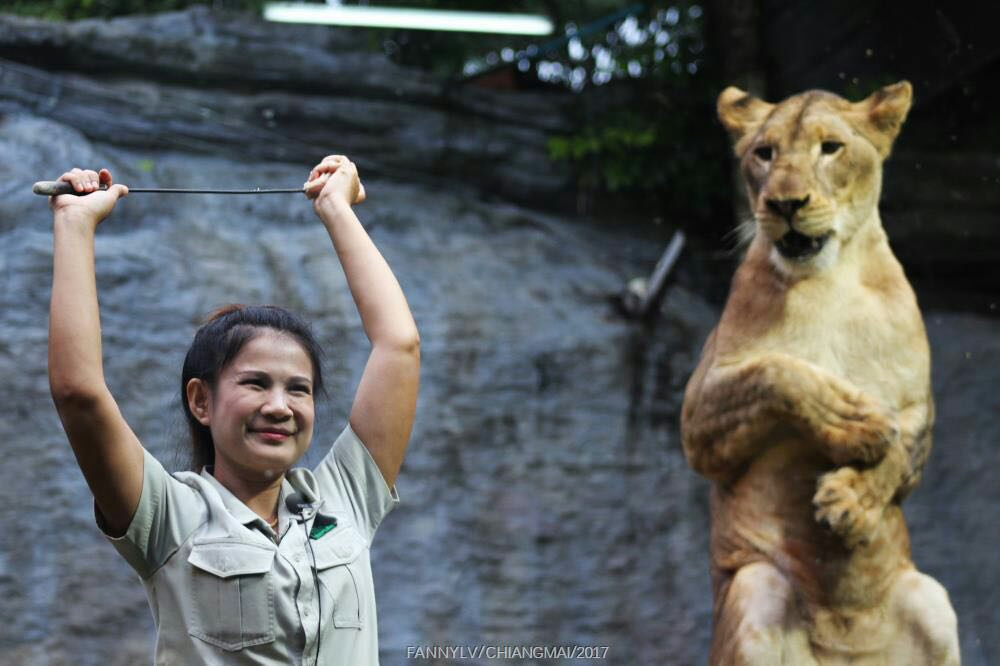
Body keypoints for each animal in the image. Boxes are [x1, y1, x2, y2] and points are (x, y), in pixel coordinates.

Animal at [680, 83, 960, 664]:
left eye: (830, 148)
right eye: (764, 154)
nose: (785, 204)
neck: (830, 278)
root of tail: (844, 647)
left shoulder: (920, 405)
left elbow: (901, 452)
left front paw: (851, 500)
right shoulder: (698, 421)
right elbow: (778, 372)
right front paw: (855, 420)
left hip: (933, 601)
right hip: (755, 588)